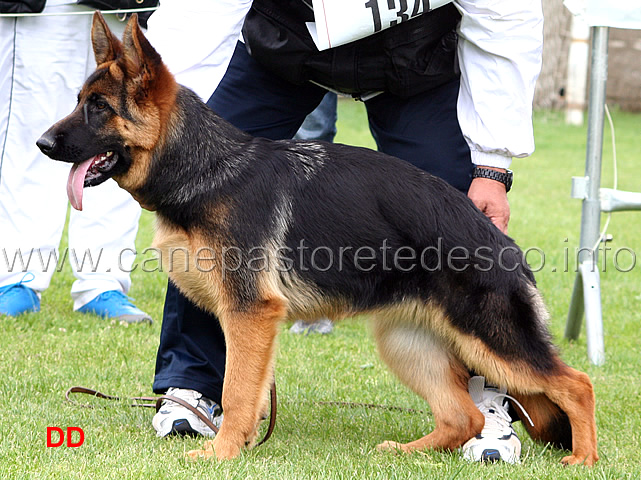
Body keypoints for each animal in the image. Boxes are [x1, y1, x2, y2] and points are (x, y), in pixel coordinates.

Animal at [38, 13, 600, 466]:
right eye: (79, 102)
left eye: (98, 107)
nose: (42, 143)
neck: (207, 168)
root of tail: (503, 243)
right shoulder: (246, 320)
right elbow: (246, 390)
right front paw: (238, 443)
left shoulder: (250, 314)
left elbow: (238, 391)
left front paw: (221, 453)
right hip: (408, 343)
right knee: (465, 417)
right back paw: (407, 451)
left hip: (492, 341)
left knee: (576, 384)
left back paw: (584, 458)